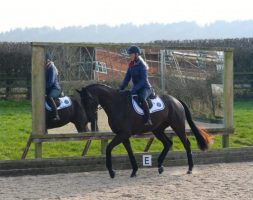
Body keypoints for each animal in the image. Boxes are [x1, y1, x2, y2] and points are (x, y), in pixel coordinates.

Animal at [77, 83, 211, 177]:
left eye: (88, 100)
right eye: (81, 102)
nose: (89, 118)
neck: (117, 104)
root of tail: (176, 100)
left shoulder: (123, 134)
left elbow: (109, 148)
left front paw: (112, 172)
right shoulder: (123, 135)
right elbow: (129, 152)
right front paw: (134, 170)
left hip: (177, 126)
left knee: (186, 144)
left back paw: (190, 169)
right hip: (157, 130)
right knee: (168, 143)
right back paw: (160, 166)